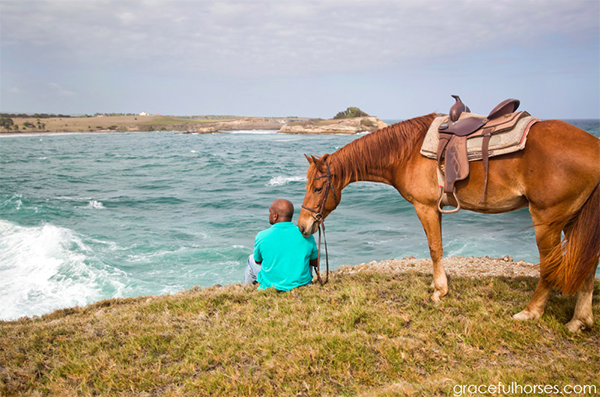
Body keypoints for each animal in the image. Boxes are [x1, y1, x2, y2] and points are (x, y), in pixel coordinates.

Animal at [298, 113, 600, 332]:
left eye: (317, 188)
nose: (303, 225)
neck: (406, 151)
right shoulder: (437, 209)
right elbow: (439, 248)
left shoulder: (426, 208)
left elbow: (435, 249)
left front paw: (439, 292)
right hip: (575, 221)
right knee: (586, 265)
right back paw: (579, 320)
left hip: (547, 221)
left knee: (550, 266)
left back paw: (530, 312)